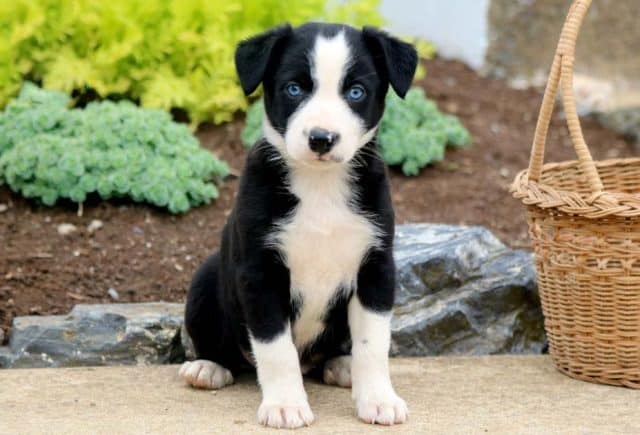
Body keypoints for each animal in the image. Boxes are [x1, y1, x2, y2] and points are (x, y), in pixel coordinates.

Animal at [180, 22, 420, 428]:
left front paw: (378, 399)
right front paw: (285, 405)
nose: (321, 139)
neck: (319, 186)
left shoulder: (376, 267)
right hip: (206, 279)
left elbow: (373, 343)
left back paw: (342, 366)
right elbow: (276, 348)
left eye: (356, 92)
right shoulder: (260, 272)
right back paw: (208, 368)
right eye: (294, 88)